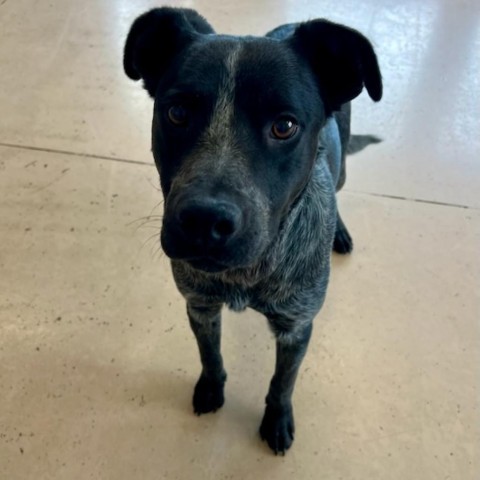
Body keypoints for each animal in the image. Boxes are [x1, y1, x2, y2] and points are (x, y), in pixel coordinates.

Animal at [124, 7, 382, 454]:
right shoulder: (200, 305)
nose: (204, 221)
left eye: (285, 126)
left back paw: (340, 233)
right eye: (177, 113)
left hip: (343, 168)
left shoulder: (296, 327)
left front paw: (276, 421)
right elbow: (210, 356)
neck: (246, 276)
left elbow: (282, 383)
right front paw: (211, 389)